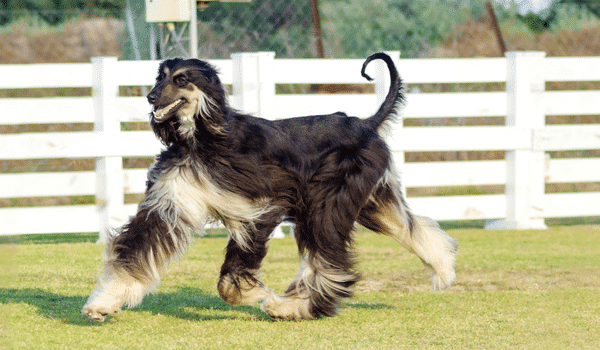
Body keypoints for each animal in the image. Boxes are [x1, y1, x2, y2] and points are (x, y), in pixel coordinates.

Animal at [83, 50, 460, 322]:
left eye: (181, 80)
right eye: (159, 77)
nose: (150, 97)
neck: (204, 140)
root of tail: (366, 124)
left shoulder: (261, 206)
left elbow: (232, 273)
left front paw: (247, 293)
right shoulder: (171, 201)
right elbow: (137, 250)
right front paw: (104, 304)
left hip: (328, 203)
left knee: (327, 261)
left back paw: (292, 308)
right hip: (368, 201)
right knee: (410, 226)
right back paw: (443, 269)